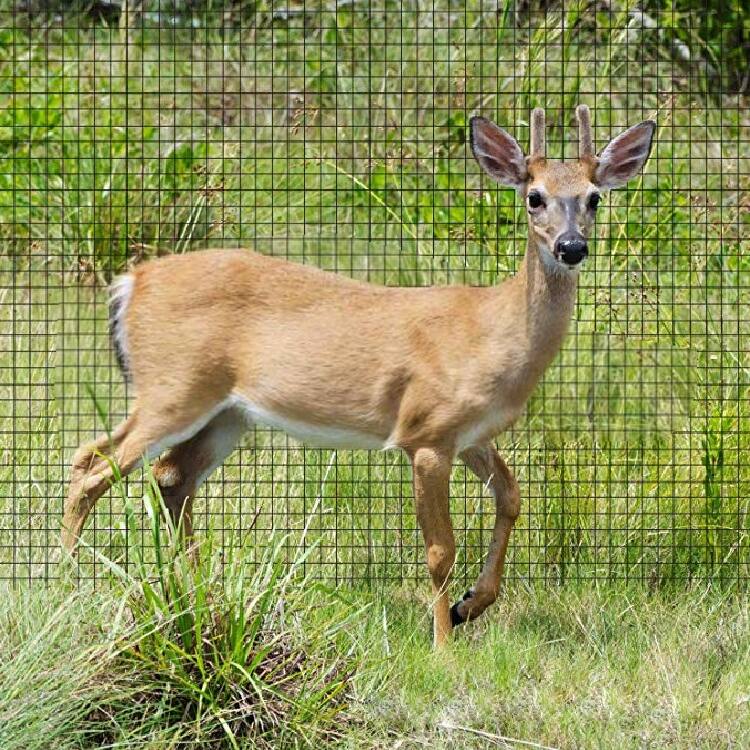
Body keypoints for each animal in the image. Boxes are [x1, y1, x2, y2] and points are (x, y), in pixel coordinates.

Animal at [62, 106, 655, 647]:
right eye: (534, 196)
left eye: (594, 197)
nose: (571, 247)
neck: (492, 332)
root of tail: (129, 284)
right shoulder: (426, 433)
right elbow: (440, 550)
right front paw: (443, 644)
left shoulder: (469, 433)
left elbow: (511, 496)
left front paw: (470, 606)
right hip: (173, 387)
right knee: (92, 465)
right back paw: (70, 584)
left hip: (226, 412)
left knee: (169, 476)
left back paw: (194, 592)